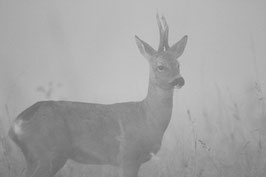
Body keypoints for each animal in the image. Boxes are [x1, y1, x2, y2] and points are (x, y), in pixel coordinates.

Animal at [8, 14, 187, 177]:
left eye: (178, 64)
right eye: (160, 66)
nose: (179, 80)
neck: (148, 118)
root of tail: (16, 124)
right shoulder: (127, 155)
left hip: (37, 157)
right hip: (48, 153)